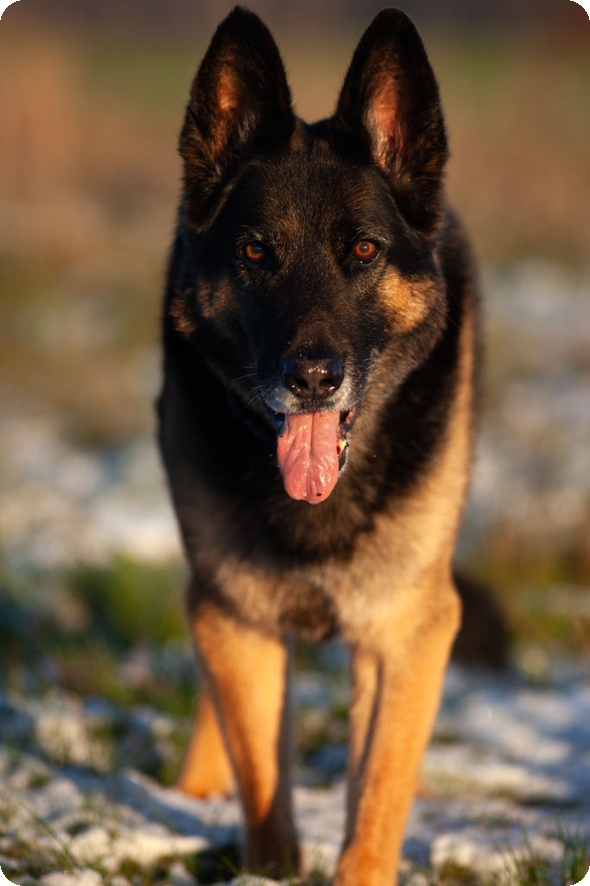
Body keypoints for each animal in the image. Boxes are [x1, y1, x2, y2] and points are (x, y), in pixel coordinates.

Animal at [158, 7, 481, 883]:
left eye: (364, 251)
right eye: (255, 252)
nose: (311, 378)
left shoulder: (407, 630)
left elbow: (378, 795)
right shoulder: (238, 613)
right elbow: (263, 782)